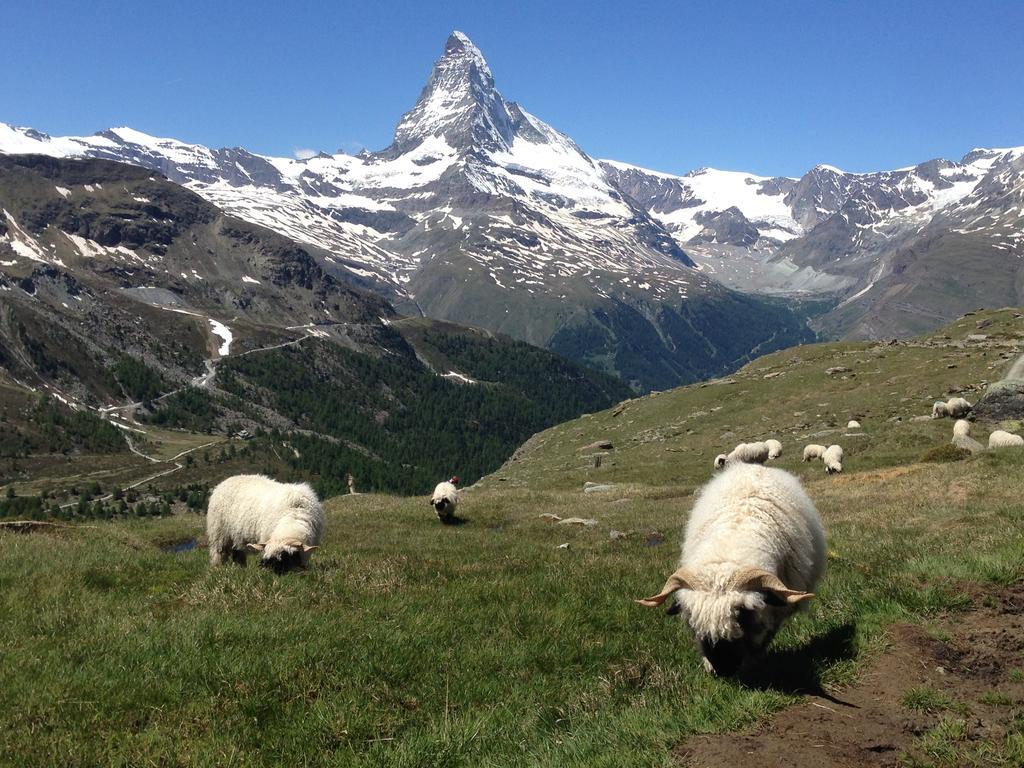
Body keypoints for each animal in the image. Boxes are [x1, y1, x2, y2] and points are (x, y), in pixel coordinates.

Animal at [634, 462, 827, 671]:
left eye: (742, 614)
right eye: (692, 619)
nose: (723, 669)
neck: (729, 550)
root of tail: (754, 466)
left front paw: (754, 661)